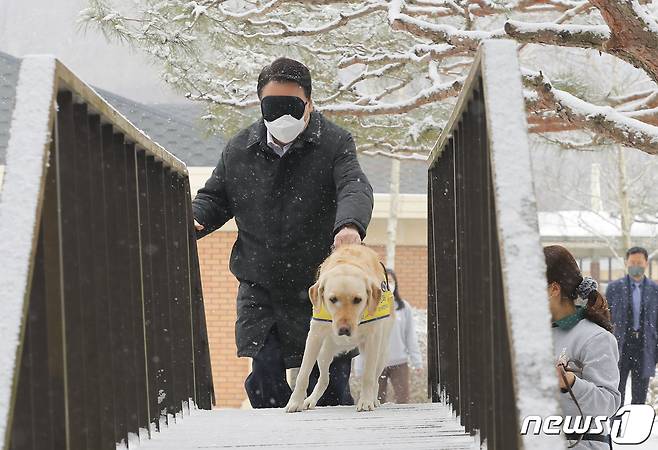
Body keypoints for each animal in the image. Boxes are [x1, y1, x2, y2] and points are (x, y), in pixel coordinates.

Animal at [284, 244, 392, 414]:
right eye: (333, 299)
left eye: (358, 299)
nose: (344, 329)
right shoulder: (314, 336)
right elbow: (303, 373)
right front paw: (295, 402)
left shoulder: (373, 339)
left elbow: (368, 376)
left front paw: (366, 402)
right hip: (323, 352)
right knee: (324, 379)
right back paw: (310, 401)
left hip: (380, 354)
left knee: (375, 379)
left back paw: (374, 400)